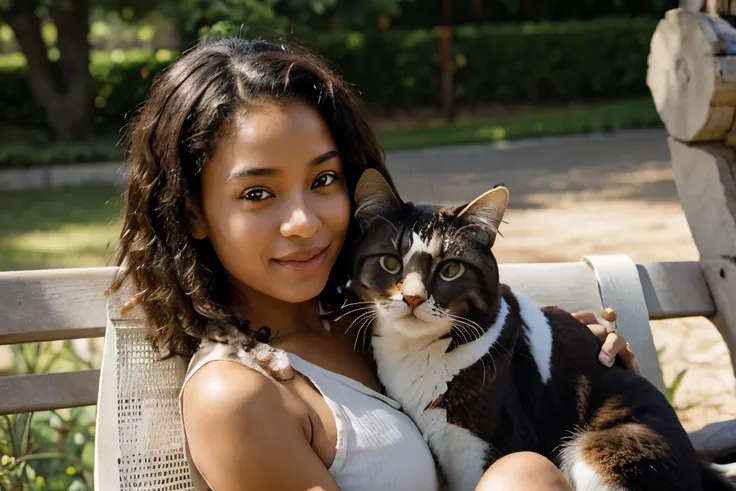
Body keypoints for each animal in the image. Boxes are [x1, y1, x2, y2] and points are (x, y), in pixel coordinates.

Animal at [344, 169, 736, 491]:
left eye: (450, 269)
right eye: (390, 262)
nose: (412, 297)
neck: (417, 354)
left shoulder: (488, 441)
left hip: (605, 444)